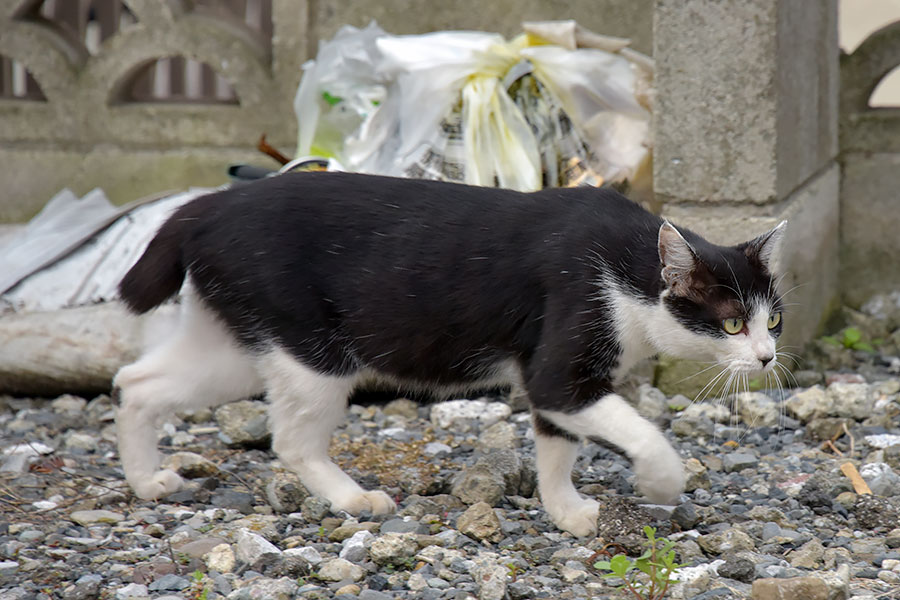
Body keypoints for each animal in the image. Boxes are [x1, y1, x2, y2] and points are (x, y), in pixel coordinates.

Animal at [114, 171, 788, 536]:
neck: (627, 275)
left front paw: (567, 513)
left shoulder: (562, 379)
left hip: (232, 341)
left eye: (773, 319)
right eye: (731, 324)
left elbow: (556, 448)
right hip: (312, 348)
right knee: (293, 439)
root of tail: (207, 203)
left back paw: (147, 480)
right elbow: (639, 432)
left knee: (136, 381)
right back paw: (353, 498)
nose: (765, 357)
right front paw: (661, 481)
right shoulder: (561, 363)